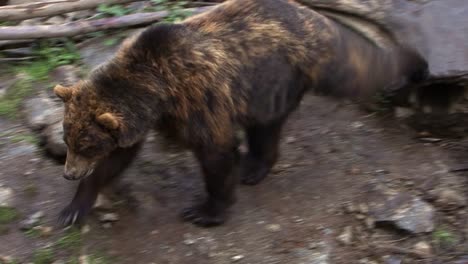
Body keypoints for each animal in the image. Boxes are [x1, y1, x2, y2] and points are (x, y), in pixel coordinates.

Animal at [54, 0, 428, 227]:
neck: (156, 90)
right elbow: (118, 160)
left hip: (275, 80)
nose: (69, 173)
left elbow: (216, 153)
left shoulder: (200, 102)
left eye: (86, 145)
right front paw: (74, 207)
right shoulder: (139, 123)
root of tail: (317, 20)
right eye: (68, 138)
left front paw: (205, 210)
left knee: (271, 124)